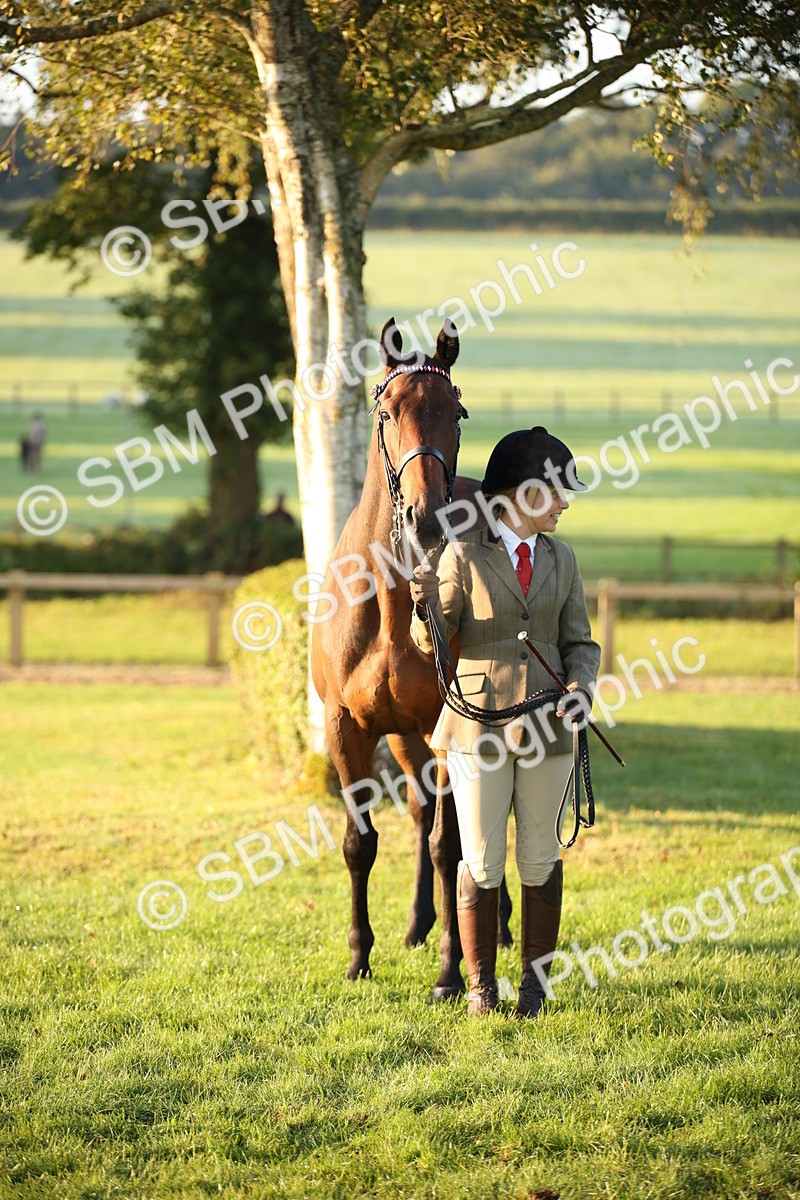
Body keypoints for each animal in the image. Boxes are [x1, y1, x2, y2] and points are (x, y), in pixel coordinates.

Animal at [310, 316, 510, 998]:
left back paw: (499, 926)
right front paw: (358, 958)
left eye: (457, 411)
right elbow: (361, 842)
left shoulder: (447, 727)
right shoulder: (348, 727)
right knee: (423, 815)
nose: (425, 515)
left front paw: (453, 972)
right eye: (388, 410)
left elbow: (451, 847)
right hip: (403, 739)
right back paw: (419, 924)